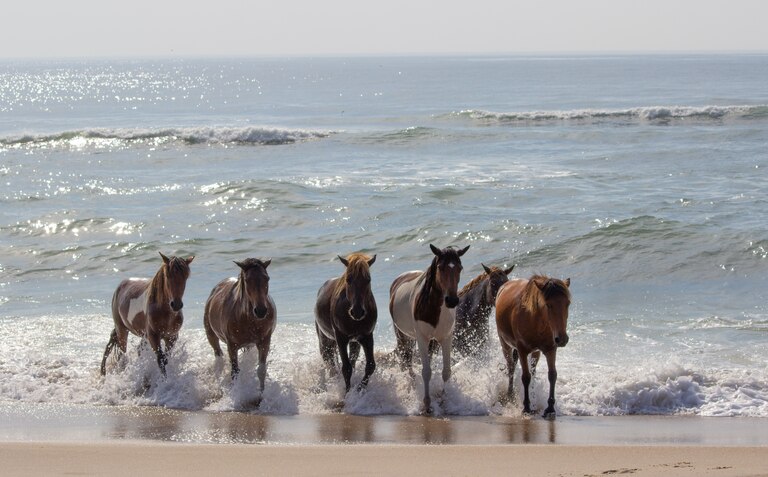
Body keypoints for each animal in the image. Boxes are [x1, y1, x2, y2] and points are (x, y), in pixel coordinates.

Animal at [204, 258, 276, 394]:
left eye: (267, 278)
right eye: (247, 280)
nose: (261, 311)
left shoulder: (264, 342)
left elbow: (261, 370)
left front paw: (262, 393)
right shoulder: (232, 346)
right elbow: (235, 372)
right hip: (211, 336)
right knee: (218, 355)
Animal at [314, 253, 377, 393]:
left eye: (368, 280)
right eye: (348, 280)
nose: (357, 312)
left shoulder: (367, 337)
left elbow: (370, 366)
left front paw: (359, 389)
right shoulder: (341, 338)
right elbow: (346, 368)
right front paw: (348, 393)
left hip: (354, 342)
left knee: (351, 359)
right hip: (324, 339)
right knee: (329, 360)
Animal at [389, 243, 469, 412]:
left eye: (459, 267)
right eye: (440, 267)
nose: (452, 300)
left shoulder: (446, 338)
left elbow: (446, 371)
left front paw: (443, 400)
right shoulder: (421, 338)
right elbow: (426, 372)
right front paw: (426, 403)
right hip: (402, 335)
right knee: (406, 359)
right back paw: (412, 385)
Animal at [495, 274, 571, 418]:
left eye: (567, 303)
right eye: (548, 304)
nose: (562, 339)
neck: (536, 320)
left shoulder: (550, 349)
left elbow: (552, 375)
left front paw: (550, 408)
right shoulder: (522, 350)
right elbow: (525, 377)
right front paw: (526, 407)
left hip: (536, 352)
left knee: (533, 370)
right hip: (505, 344)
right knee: (511, 366)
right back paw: (510, 395)